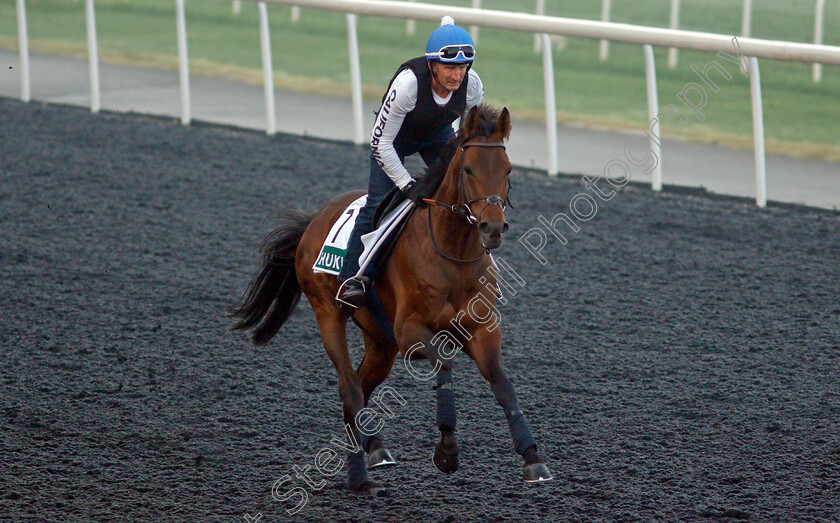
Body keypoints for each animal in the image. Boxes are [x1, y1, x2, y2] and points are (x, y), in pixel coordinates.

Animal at [233, 104, 556, 498]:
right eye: (468, 169)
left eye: (508, 169)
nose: (492, 228)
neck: (452, 254)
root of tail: (315, 219)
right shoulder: (409, 333)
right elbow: (444, 366)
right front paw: (447, 451)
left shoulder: (482, 329)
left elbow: (503, 384)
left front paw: (533, 458)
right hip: (329, 314)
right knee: (349, 387)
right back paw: (363, 472)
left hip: (380, 341)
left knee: (359, 387)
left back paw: (371, 450)